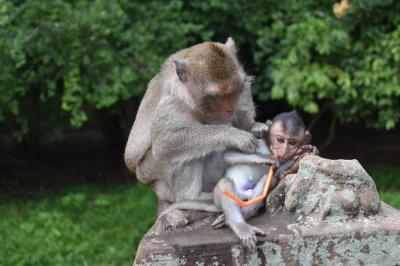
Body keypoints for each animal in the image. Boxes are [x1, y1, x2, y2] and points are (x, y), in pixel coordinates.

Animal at [124, 37, 268, 215]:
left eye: (233, 91)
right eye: (216, 96)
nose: (229, 108)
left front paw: (253, 125)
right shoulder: (171, 101)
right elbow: (165, 143)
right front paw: (235, 136)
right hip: (150, 172)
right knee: (181, 155)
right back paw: (193, 197)